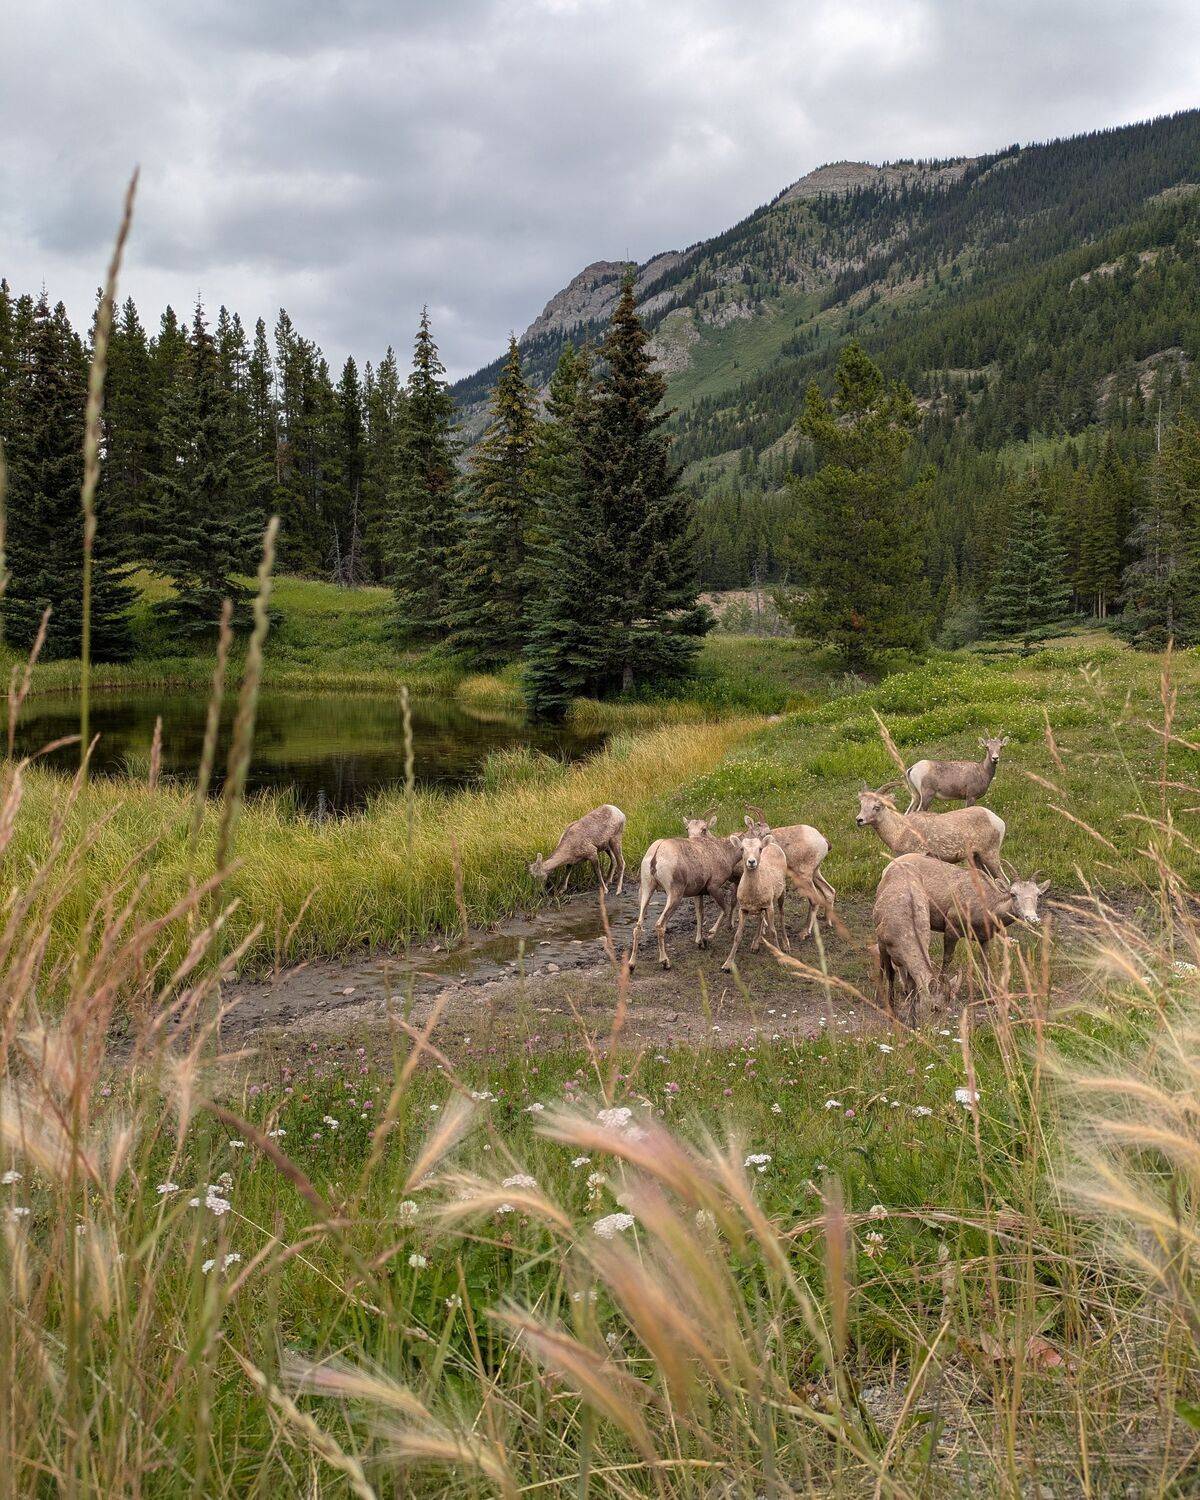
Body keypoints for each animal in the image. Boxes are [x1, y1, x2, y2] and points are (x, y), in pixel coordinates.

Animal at [629, 814, 744, 971]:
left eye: (703, 829)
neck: (723, 851)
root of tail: (656, 854)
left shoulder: (698, 892)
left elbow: (700, 914)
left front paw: (700, 942)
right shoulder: (713, 887)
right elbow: (724, 909)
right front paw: (707, 938)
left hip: (646, 889)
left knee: (638, 926)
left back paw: (631, 964)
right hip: (674, 895)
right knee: (660, 925)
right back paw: (665, 962)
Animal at [721, 833, 790, 972]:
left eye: (760, 849)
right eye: (742, 849)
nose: (751, 862)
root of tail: (772, 844)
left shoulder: (769, 906)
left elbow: (773, 932)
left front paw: (781, 960)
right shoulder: (743, 908)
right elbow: (737, 935)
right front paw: (727, 964)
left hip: (782, 892)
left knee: (782, 914)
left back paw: (786, 945)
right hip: (761, 905)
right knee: (760, 917)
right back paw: (755, 944)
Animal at [742, 804, 835, 941]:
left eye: (768, 832)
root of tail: (823, 840)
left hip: (805, 877)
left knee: (815, 900)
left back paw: (805, 933)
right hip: (815, 873)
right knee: (829, 892)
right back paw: (828, 923)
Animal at [855, 786, 1006, 880]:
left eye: (877, 806)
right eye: (862, 805)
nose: (859, 820)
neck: (900, 830)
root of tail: (998, 821)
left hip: (990, 855)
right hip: (977, 858)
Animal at [878, 853, 1048, 978]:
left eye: (1038, 895)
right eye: (1013, 894)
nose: (1032, 918)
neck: (986, 905)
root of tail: (889, 866)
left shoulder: (984, 938)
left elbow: (985, 962)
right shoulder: (951, 930)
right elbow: (947, 958)